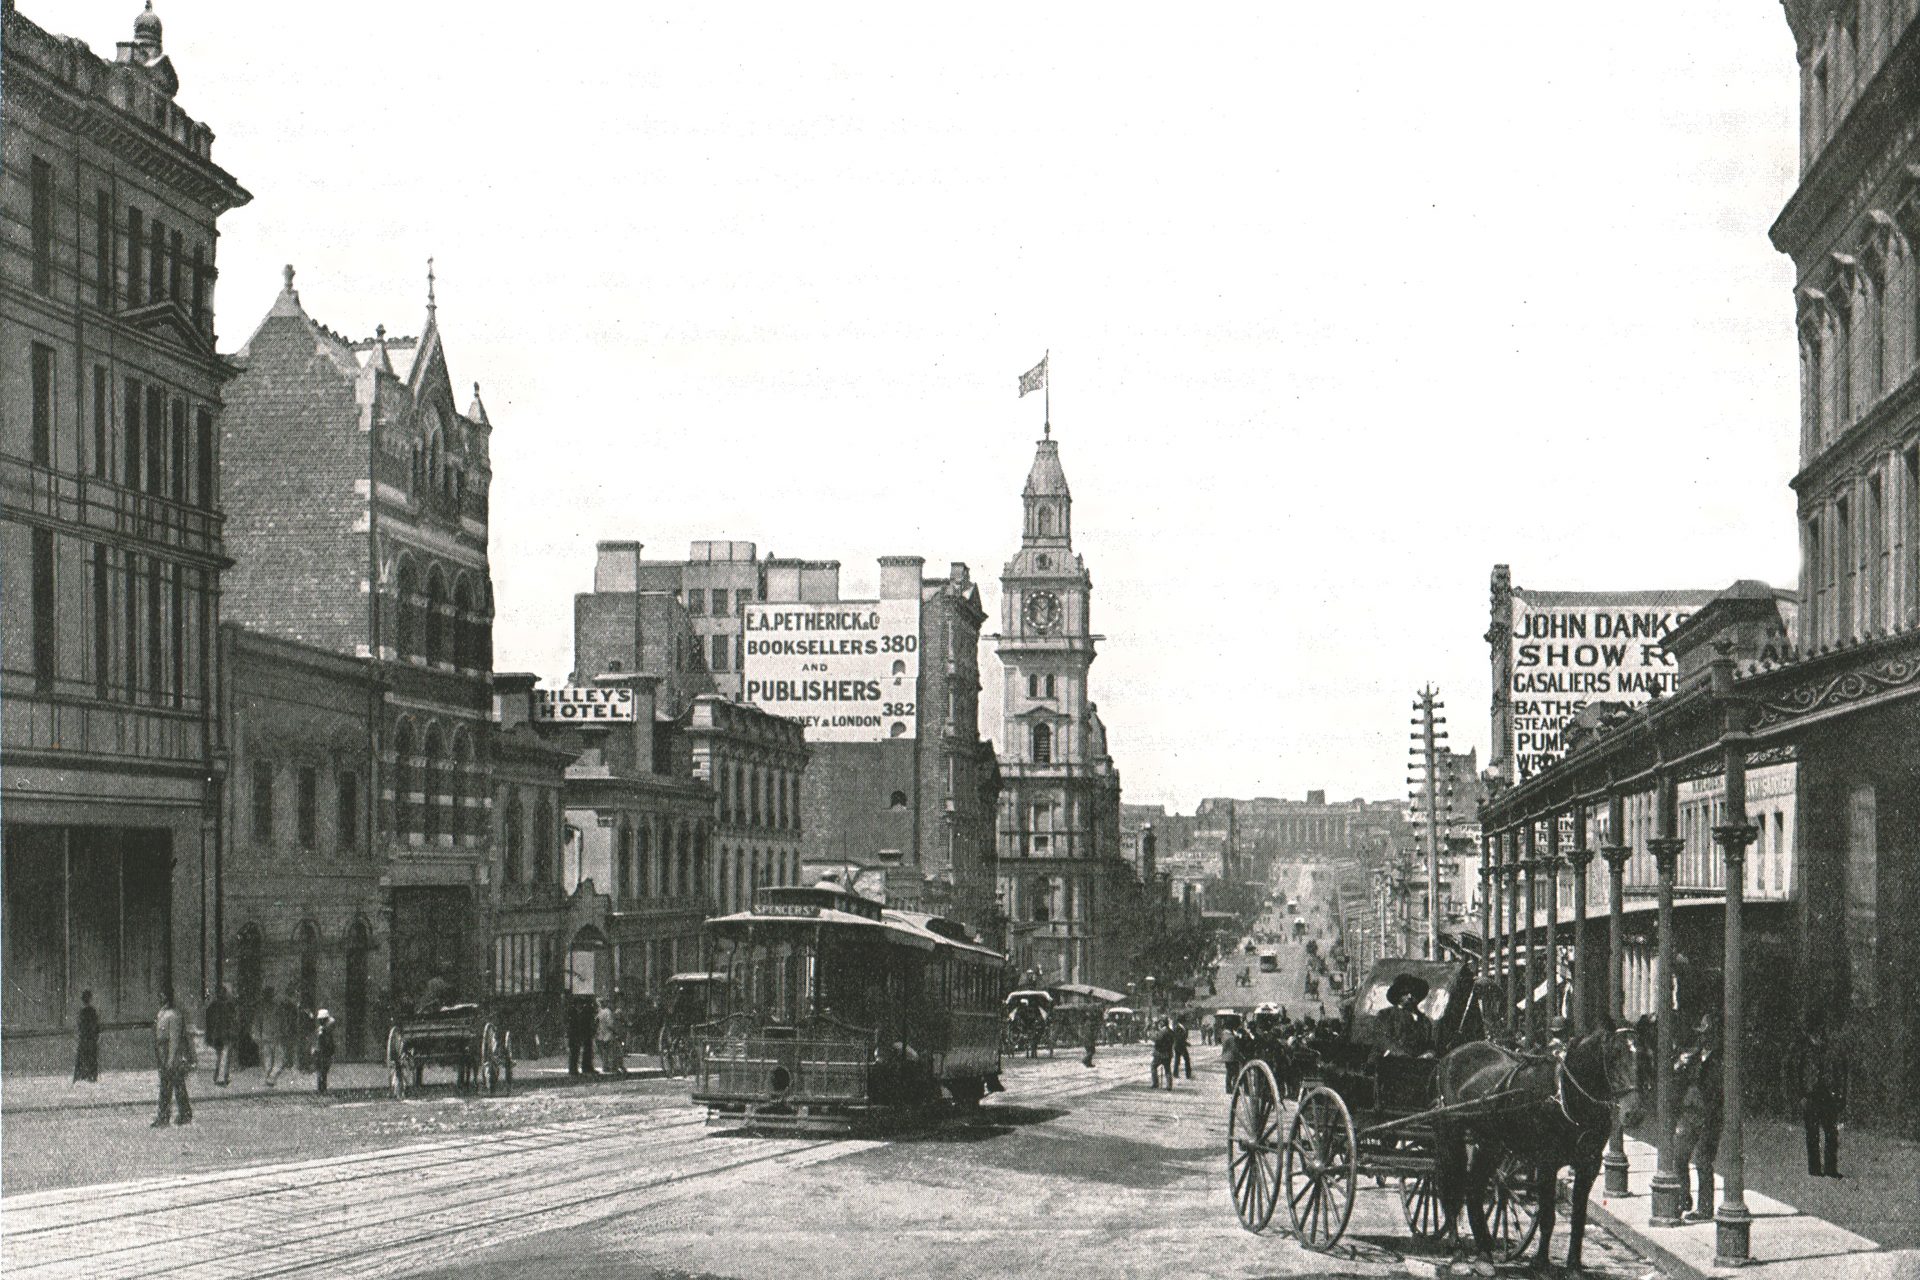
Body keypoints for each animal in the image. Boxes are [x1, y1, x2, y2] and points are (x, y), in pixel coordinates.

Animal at [1436, 1028, 1643, 1274]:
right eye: (1613, 1057)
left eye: (1643, 1057)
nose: (1633, 1114)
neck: (1565, 1095)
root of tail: (1450, 1055)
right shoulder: (1547, 1163)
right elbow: (1547, 1216)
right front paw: (1541, 1262)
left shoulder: (1588, 1166)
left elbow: (1579, 1218)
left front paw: (1573, 1266)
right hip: (1452, 1136)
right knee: (1452, 1187)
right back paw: (1458, 1253)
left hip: (1489, 1143)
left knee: (1473, 1188)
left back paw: (1484, 1255)